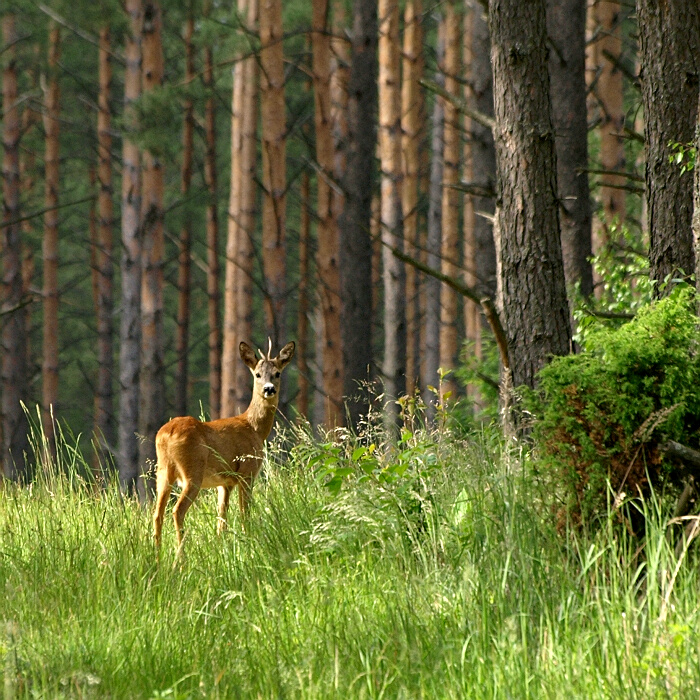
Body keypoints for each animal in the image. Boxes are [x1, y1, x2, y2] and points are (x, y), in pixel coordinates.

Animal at [153, 338, 296, 548]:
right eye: (257, 374)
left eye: (277, 373)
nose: (269, 389)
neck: (254, 428)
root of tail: (166, 434)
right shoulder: (247, 472)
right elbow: (245, 513)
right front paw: (248, 542)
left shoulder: (225, 482)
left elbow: (222, 520)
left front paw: (222, 546)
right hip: (192, 471)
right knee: (177, 511)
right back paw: (181, 553)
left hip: (163, 472)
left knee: (157, 514)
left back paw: (157, 553)